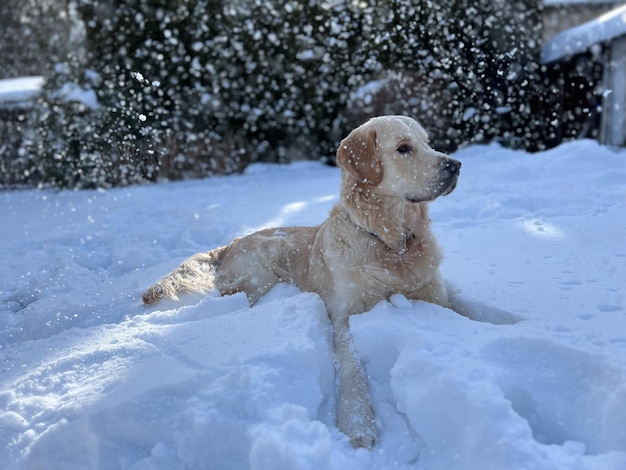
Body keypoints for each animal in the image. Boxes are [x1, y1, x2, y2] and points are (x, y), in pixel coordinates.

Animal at [144, 114, 460, 448]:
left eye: (428, 143)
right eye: (403, 148)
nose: (455, 165)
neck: (389, 245)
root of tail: (231, 243)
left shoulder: (436, 297)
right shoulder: (344, 318)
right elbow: (352, 368)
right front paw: (357, 423)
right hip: (265, 262)